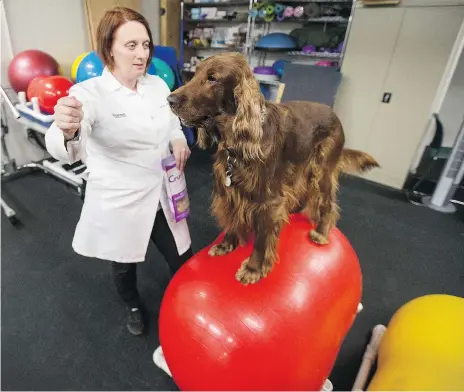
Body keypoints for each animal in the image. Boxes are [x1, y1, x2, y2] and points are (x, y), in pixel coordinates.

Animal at [169, 52, 378, 284]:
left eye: (212, 78)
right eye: (195, 73)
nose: (170, 100)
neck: (237, 142)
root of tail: (334, 115)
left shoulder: (268, 200)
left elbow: (262, 238)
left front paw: (253, 269)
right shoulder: (229, 189)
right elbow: (232, 219)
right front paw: (226, 245)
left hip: (321, 170)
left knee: (327, 203)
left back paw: (321, 233)